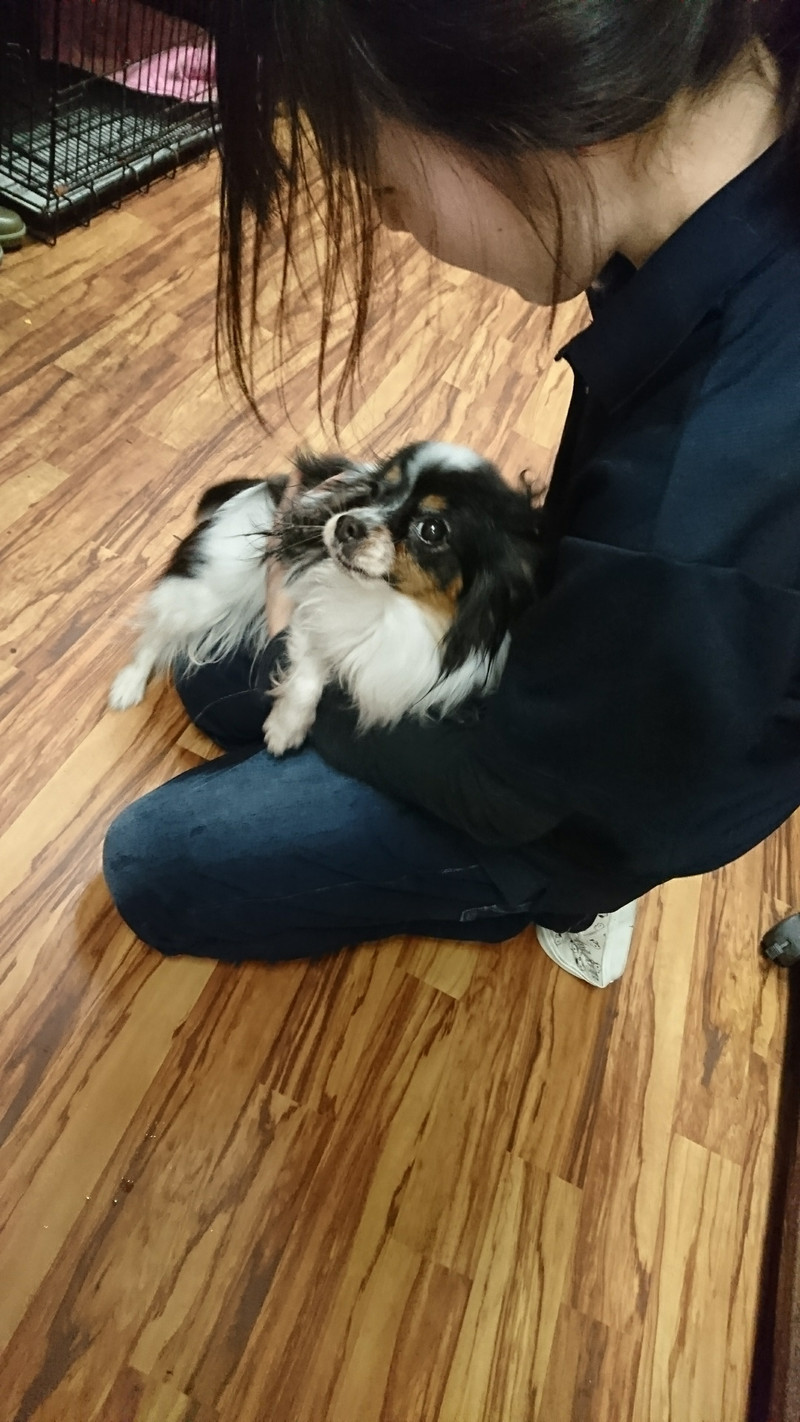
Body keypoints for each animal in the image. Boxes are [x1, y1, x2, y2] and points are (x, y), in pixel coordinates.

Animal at [109, 441, 543, 754]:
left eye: (432, 530)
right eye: (374, 491)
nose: (347, 524)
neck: (388, 603)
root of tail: (254, 489)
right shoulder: (307, 612)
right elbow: (309, 669)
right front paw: (285, 727)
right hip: (207, 592)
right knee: (156, 632)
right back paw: (128, 685)